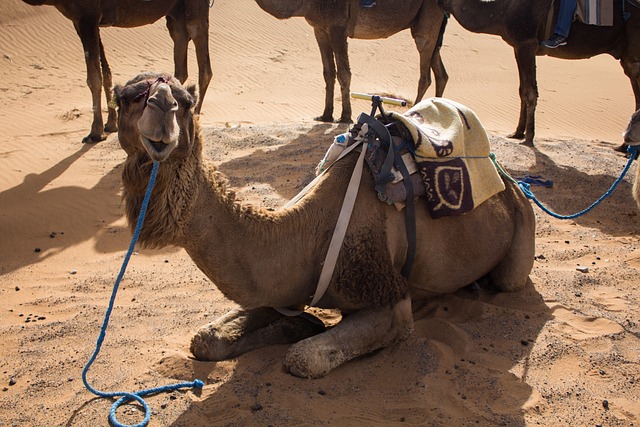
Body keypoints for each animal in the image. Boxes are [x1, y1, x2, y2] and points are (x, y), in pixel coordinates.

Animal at [21, 0, 212, 144]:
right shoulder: (85, 21)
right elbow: (105, 72)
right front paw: (111, 124)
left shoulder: (87, 16)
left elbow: (93, 78)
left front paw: (95, 133)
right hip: (175, 13)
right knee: (180, 56)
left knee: (203, 61)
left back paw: (193, 118)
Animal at [114, 72, 536, 378]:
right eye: (126, 97)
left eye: (186, 103)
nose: (161, 111)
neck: (306, 231)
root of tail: (510, 178)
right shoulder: (282, 286)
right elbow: (204, 339)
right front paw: (300, 325)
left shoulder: (390, 301)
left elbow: (303, 359)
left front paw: (305, 331)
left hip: (520, 232)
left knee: (509, 280)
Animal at [252, 0, 448, 123]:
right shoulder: (320, 28)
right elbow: (328, 72)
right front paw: (326, 115)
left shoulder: (337, 27)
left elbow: (344, 73)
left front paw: (345, 117)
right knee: (441, 74)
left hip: (428, 22)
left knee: (425, 75)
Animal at [440, 0, 640, 147]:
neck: (502, 9)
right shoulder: (518, 46)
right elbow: (522, 90)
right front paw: (517, 133)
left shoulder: (527, 43)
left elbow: (530, 92)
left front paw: (529, 138)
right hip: (627, 55)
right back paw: (624, 147)